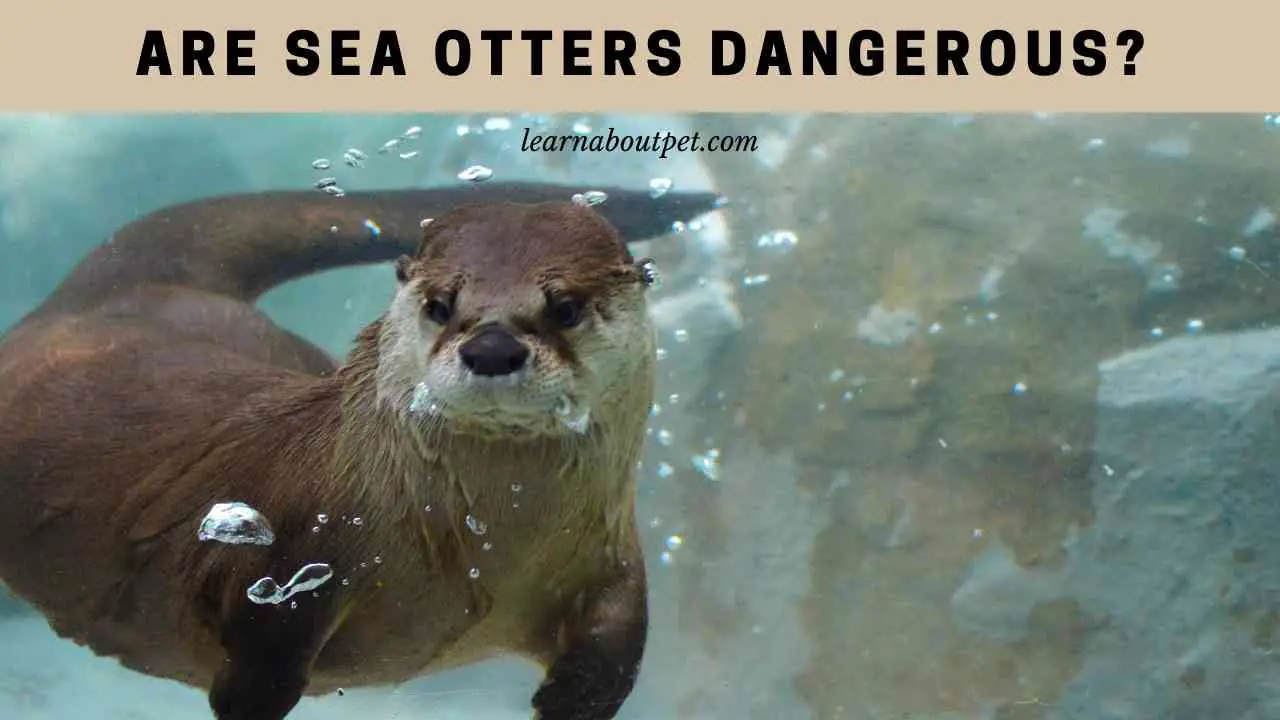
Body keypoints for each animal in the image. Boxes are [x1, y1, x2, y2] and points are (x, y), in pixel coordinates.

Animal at [0, 182, 720, 719]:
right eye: (440, 304)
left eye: (565, 306)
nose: (491, 348)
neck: (484, 551)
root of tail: (111, 295)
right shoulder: (295, 551)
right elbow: (262, 655)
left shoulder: (609, 553)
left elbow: (618, 644)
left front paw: (570, 698)